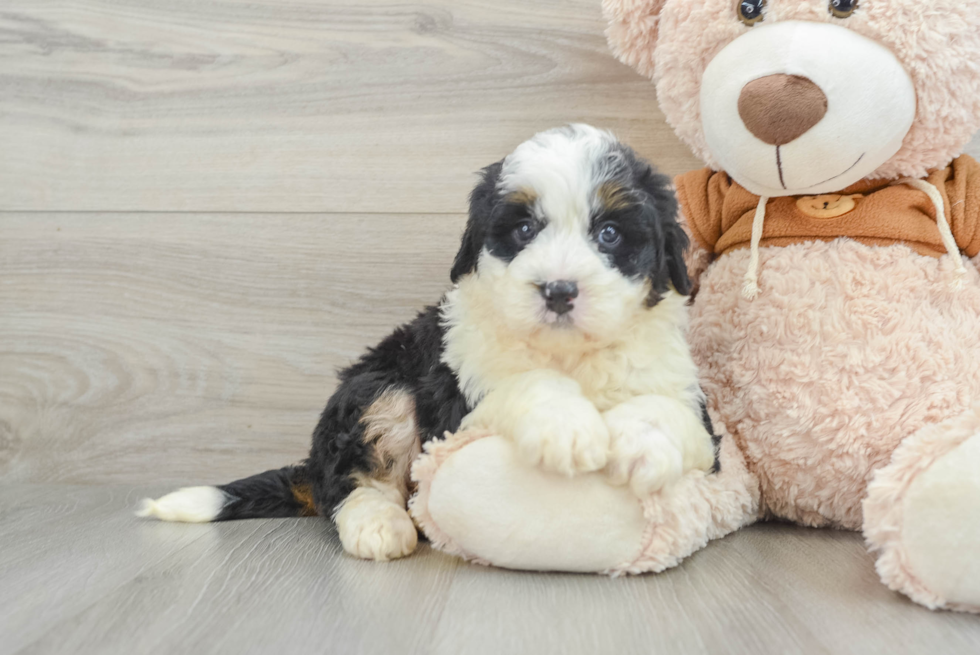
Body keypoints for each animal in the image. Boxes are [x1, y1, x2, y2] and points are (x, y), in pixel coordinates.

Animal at [138, 127, 716, 564]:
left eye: (610, 234)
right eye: (524, 229)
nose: (558, 290)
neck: (567, 353)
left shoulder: (689, 403)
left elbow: (670, 414)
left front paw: (642, 448)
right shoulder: (461, 398)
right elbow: (528, 383)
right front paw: (567, 429)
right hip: (381, 385)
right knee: (351, 480)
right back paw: (380, 525)